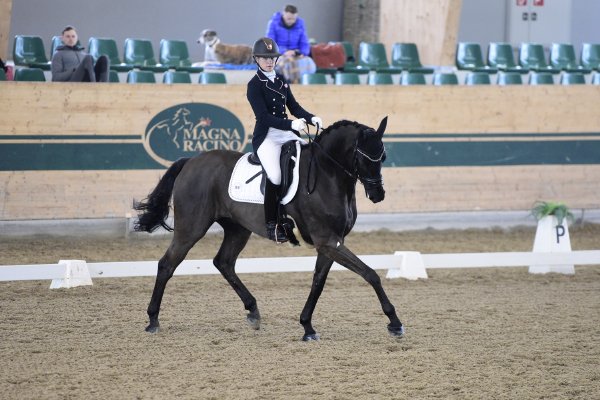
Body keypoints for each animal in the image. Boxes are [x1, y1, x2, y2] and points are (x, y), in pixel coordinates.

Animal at [136, 118, 404, 340]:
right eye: (362, 156)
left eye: (382, 157)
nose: (377, 195)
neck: (328, 176)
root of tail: (190, 161)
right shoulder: (328, 240)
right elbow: (370, 274)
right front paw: (395, 323)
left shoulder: (332, 242)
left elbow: (318, 282)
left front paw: (307, 326)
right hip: (191, 228)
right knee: (167, 264)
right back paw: (152, 320)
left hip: (237, 229)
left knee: (223, 262)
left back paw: (253, 312)